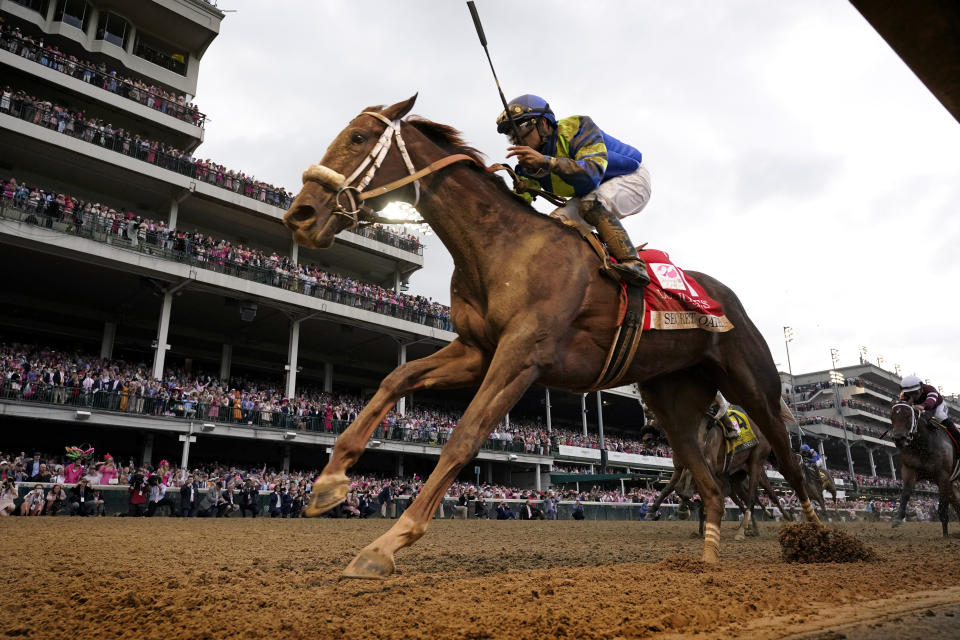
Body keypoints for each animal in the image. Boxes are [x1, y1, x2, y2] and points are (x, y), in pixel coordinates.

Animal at [282, 96, 820, 580]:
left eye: (357, 138)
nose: (301, 214)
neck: (504, 246)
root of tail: (727, 299)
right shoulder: (477, 351)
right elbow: (396, 378)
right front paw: (329, 483)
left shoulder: (521, 357)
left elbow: (464, 436)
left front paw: (388, 542)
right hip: (672, 403)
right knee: (709, 487)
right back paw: (707, 561)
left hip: (754, 387)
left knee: (788, 468)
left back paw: (816, 539)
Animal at [888, 400, 956, 536]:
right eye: (891, 417)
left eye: (908, 415)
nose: (898, 438)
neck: (924, 444)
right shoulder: (910, 470)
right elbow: (905, 494)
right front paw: (898, 519)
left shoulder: (944, 477)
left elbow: (942, 507)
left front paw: (945, 535)